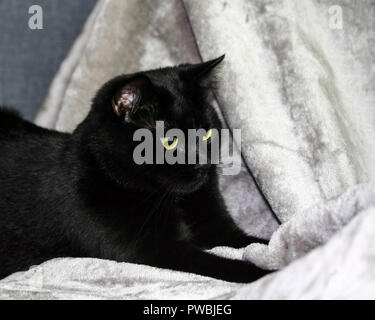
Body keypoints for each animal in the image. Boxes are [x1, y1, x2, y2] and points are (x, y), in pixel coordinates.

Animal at [0, 55, 270, 282]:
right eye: (170, 141)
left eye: (206, 134)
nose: (202, 164)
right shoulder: (155, 249)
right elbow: (218, 264)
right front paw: (267, 273)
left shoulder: (218, 229)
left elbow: (254, 241)